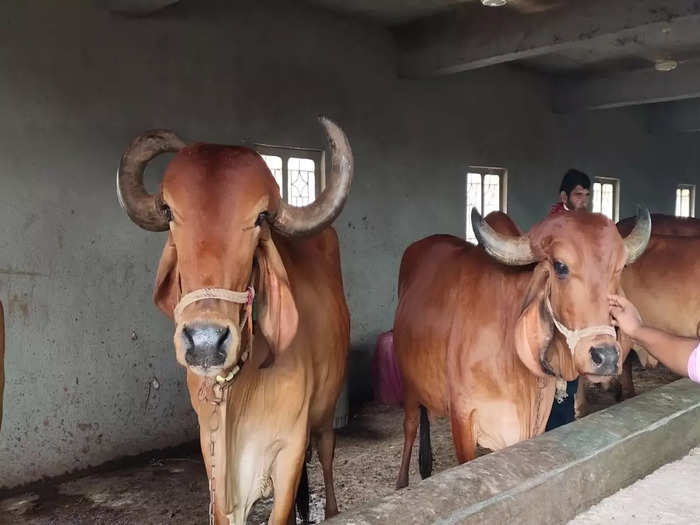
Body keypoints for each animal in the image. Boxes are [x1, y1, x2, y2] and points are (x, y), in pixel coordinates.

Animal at [118, 118, 356, 524]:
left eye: (259, 217)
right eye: (169, 211)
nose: (205, 341)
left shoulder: (290, 446)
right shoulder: (214, 454)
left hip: (325, 413)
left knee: (326, 454)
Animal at [394, 207, 652, 486]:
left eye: (619, 268)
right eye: (560, 266)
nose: (606, 357)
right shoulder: (462, 417)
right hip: (409, 385)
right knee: (410, 427)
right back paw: (401, 483)